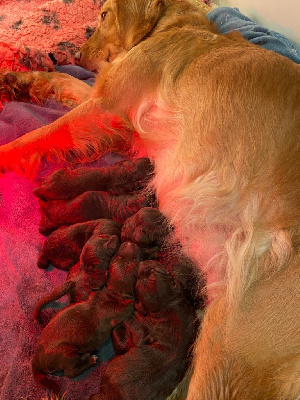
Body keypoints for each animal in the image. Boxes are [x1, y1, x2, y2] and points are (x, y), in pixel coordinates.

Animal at [91, 260, 199, 400]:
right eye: (154, 270)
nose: (142, 263)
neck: (167, 306)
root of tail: (108, 395)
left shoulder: (145, 329)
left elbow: (136, 326)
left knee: (121, 345)